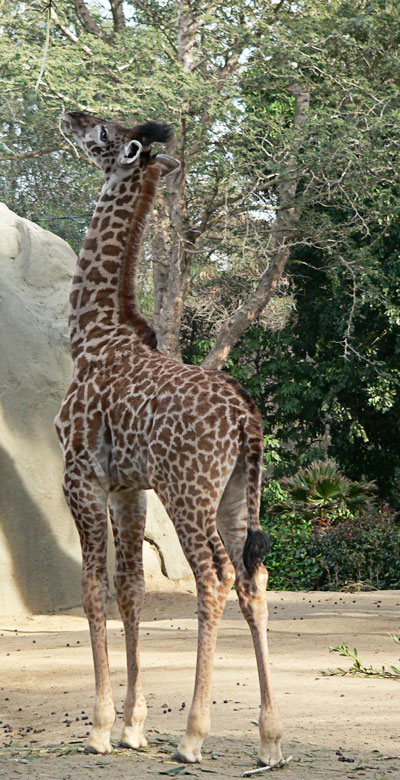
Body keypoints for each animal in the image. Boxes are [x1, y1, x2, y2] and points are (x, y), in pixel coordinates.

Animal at [55, 110, 283, 767]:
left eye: (102, 134)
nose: (71, 115)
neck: (90, 335)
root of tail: (246, 420)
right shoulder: (128, 486)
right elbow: (130, 587)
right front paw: (134, 726)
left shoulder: (80, 474)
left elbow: (92, 587)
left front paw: (102, 728)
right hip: (237, 491)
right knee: (253, 577)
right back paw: (269, 739)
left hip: (188, 491)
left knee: (214, 577)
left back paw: (193, 737)